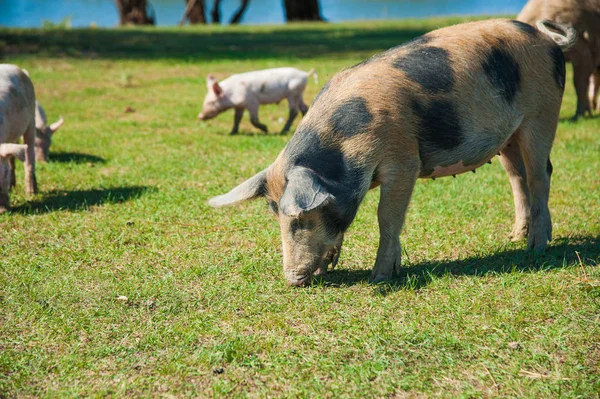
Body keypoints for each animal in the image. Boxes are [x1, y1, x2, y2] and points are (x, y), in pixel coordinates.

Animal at [210, 19, 576, 288]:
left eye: (298, 220)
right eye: (276, 216)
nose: (292, 280)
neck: (343, 149)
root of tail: (548, 39)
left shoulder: (404, 161)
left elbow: (386, 216)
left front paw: (380, 277)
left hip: (541, 114)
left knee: (540, 175)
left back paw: (535, 247)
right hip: (509, 137)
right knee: (518, 178)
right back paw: (514, 236)